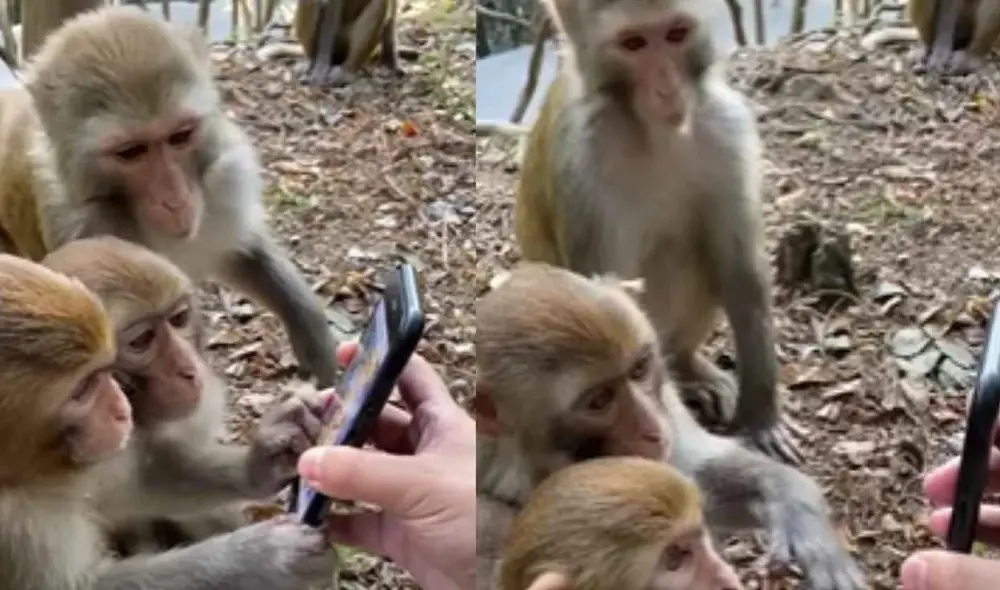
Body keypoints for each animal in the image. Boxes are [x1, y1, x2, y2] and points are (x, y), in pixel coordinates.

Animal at [0, 5, 341, 390]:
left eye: (180, 135)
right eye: (131, 152)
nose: (175, 199)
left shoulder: (221, 183)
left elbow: (238, 254)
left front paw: (310, 328)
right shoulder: (84, 231)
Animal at [0, 254, 336, 590]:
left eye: (103, 373)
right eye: (83, 389)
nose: (121, 409)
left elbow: (136, 487)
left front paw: (267, 456)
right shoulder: (14, 528)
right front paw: (265, 557)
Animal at [512, 0, 802, 465]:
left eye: (676, 34)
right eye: (633, 43)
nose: (668, 89)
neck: (654, 132)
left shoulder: (726, 125)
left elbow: (740, 269)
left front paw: (761, 417)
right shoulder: (584, 163)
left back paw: (687, 367)